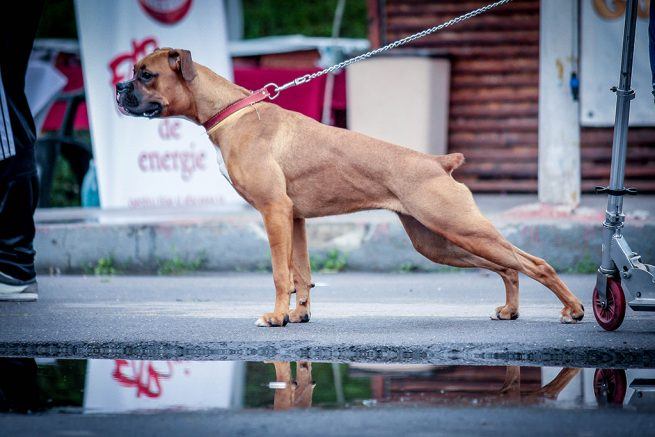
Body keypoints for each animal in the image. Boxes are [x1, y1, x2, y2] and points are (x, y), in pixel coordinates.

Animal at [115, 48, 588, 328]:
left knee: (535, 263)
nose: (118, 88)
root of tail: (439, 162)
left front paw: (276, 317)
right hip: (439, 242)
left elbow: (280, 273)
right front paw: (299, 315)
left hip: (461, 229)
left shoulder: (273, 211)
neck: (230, 110)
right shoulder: (295, 219)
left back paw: (575, 309)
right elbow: (301, 273)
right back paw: (511, 310)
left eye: (146, 75)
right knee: (508, 267)